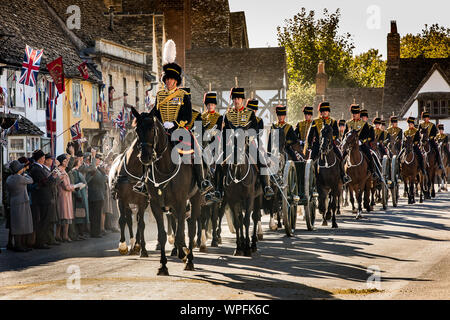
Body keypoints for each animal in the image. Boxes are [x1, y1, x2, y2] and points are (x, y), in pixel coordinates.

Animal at [130, 108, 200, 276]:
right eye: (137, 130)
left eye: (152, 129)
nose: (145, 157)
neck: (165, 166)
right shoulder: (155, 204)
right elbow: (163, 234)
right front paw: (163, 265)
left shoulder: (181, 202)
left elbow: (181, 233)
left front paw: (184, 255)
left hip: (195, 199)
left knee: (191, 228)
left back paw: (189, 259)